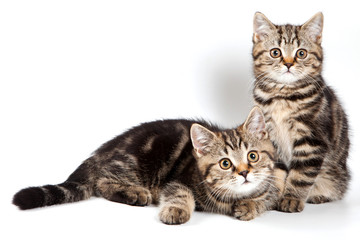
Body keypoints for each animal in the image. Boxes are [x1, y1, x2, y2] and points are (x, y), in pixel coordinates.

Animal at [13, 107, 278, 223]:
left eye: (253, 156)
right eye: (225, 163)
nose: (244, 173)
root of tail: (103, 150)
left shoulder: (274, 182)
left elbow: (266, 195)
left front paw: (250, 206)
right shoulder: (179, 180)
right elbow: (180, 194)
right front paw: (176, 210)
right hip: (140, 161)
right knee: (102, 180)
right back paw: (135, 193)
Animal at [252, 12, 350, 213]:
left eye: (301, 53)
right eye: (275, 52)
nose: (288, 64)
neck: (282, 96)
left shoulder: (311, 140)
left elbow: (301, 175)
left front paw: (291, 198)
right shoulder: (272, 139)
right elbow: (277, 172)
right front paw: (273, 196)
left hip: (336, 176)